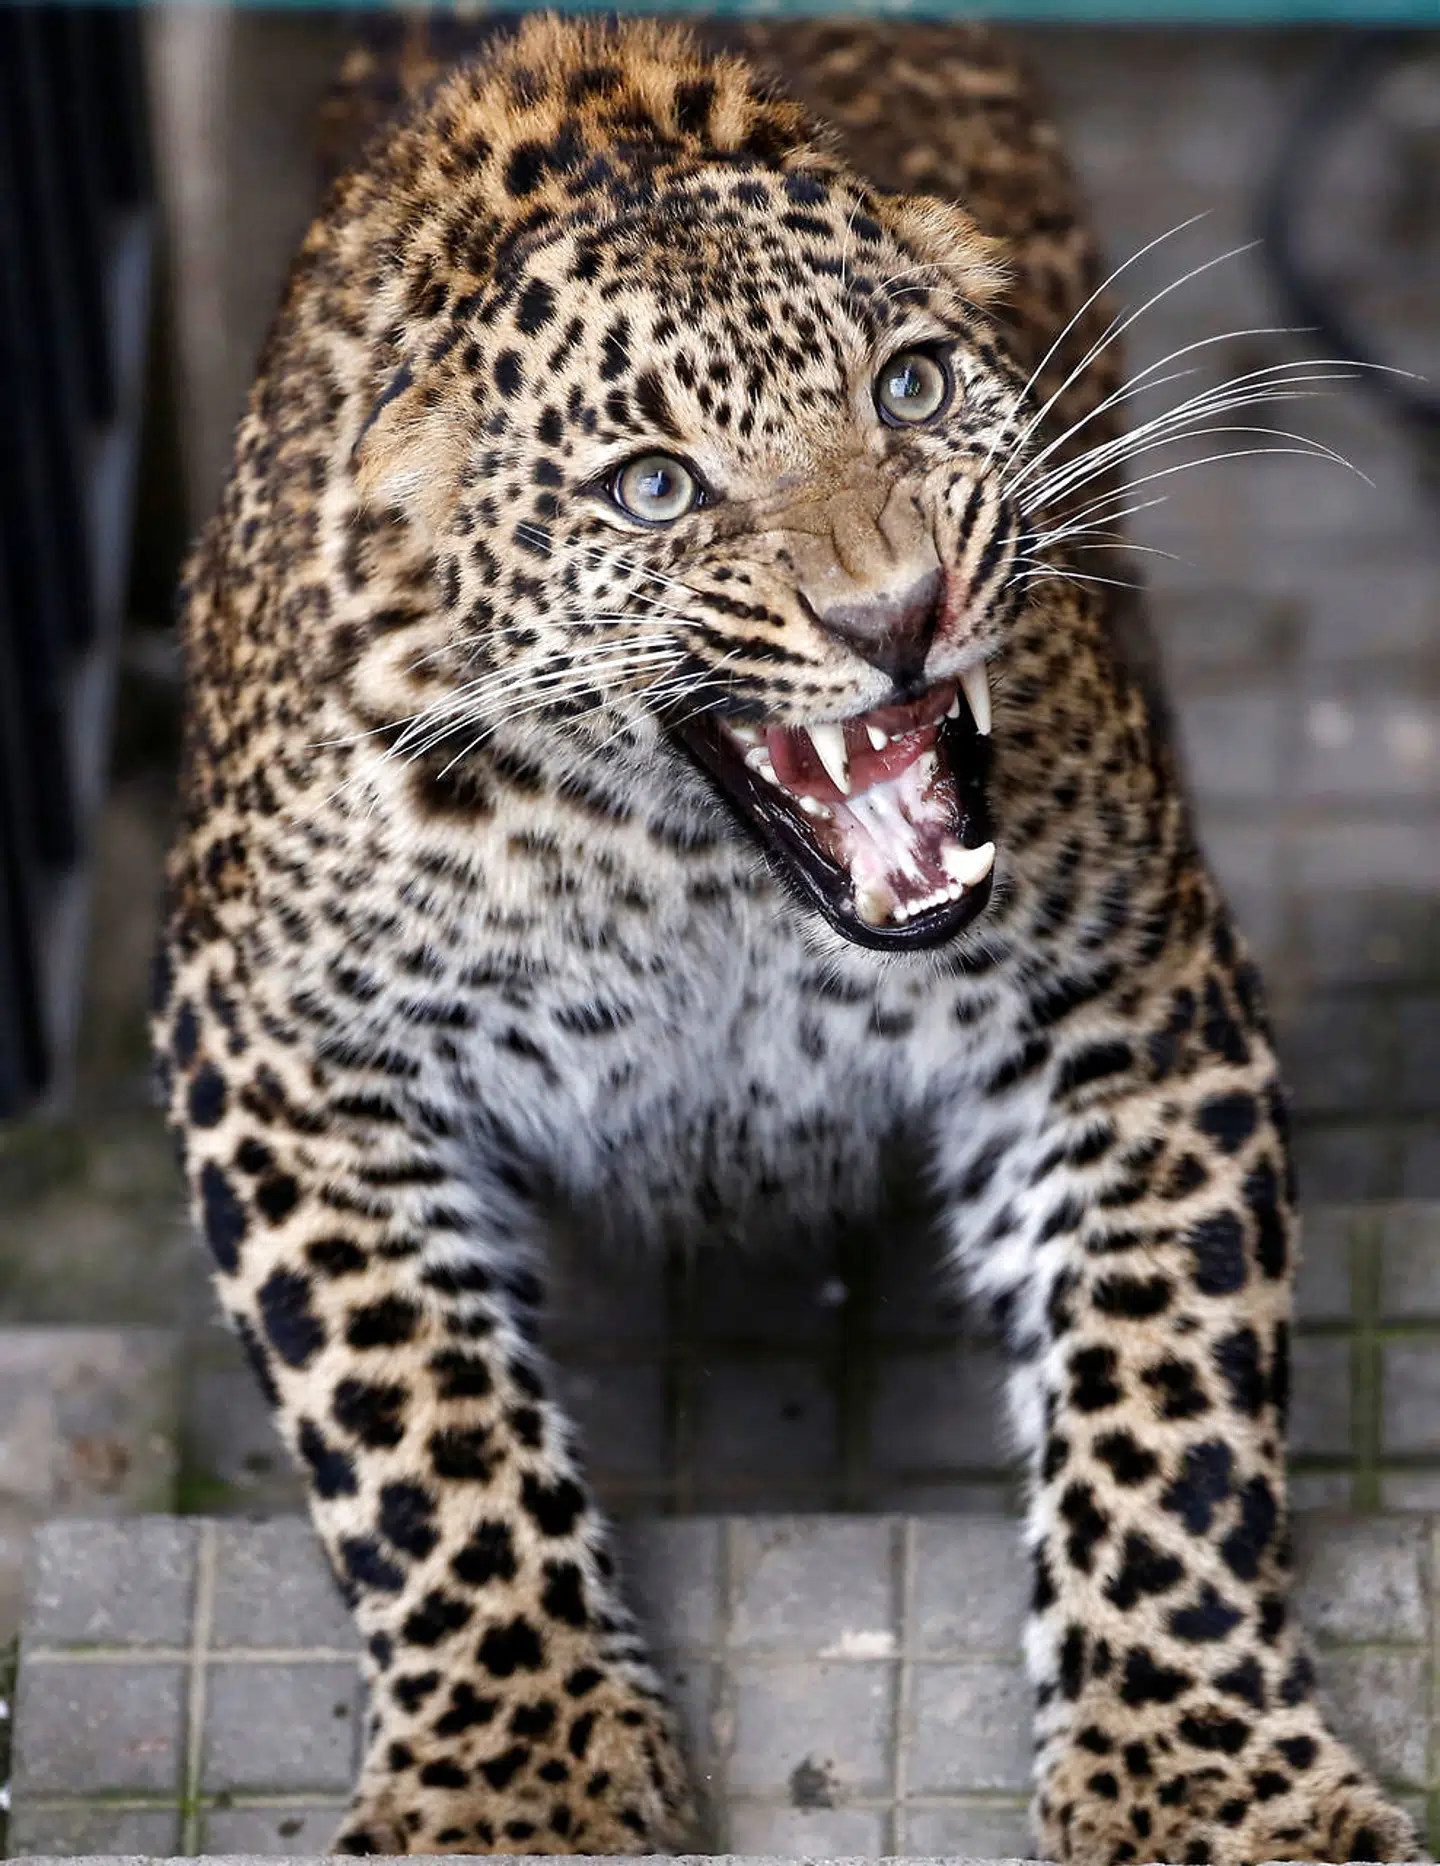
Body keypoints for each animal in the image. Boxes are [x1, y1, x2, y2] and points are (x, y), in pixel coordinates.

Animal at [152, 13, 1421, 1862]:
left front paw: (1203, 1773)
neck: (701, 889)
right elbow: (419, 1425)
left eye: (907, 387)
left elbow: (1162, 1402)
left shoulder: (1132, 1004)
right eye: (655, 489)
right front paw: (514, 1773)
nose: (900, 615)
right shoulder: (277, 1048)